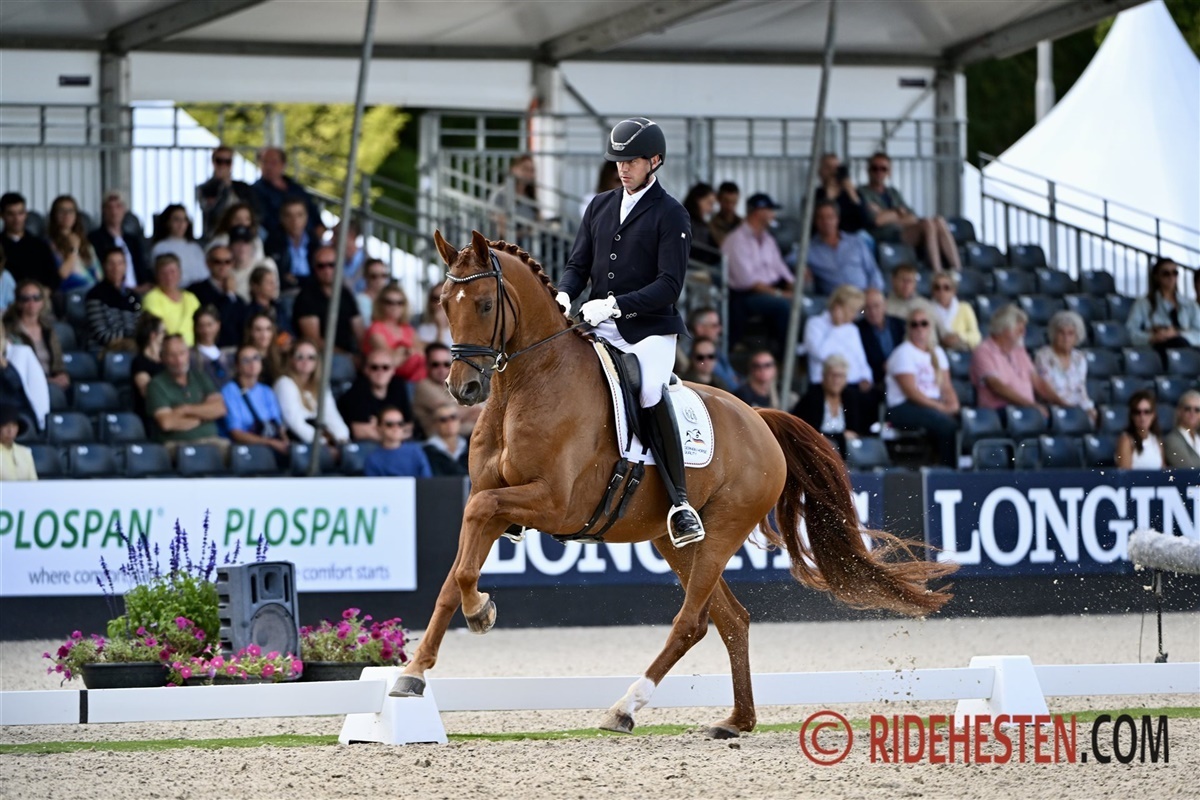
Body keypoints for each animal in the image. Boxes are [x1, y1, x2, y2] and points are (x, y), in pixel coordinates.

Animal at [390, 230, 955, 738]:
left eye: (486, 304)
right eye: (443, 304)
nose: (463, 389)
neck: (524, 387)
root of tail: (758, 418)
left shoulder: (553, 504)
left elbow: (478, 519)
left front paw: (480, 612)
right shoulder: (502, 500)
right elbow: (456, 571)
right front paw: (414, 673)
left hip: (722, 532)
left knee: (692, 621)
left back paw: (625, 708)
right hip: (673, 539)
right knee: (729, 619)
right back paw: (736, 721)